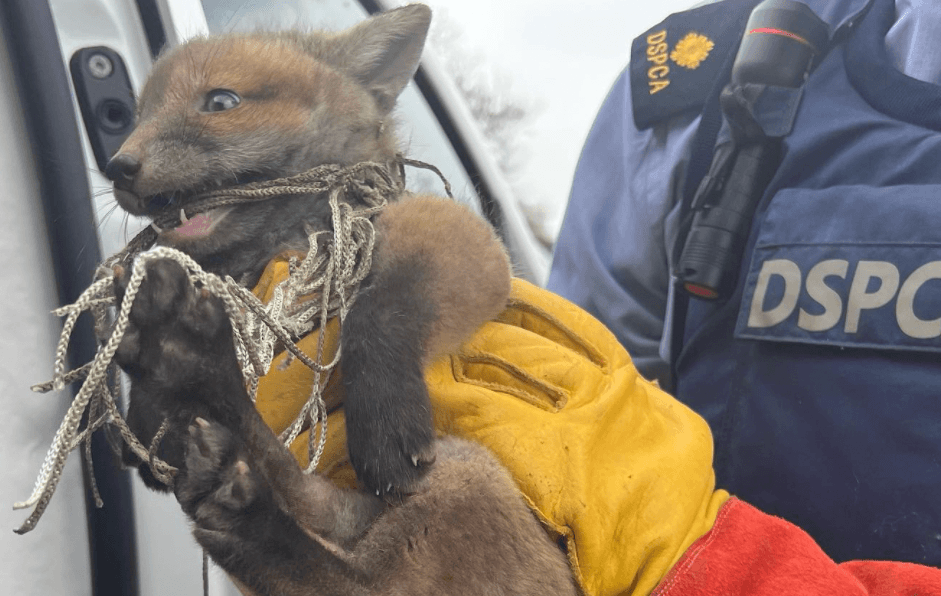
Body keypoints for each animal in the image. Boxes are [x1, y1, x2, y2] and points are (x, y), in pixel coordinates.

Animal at [105, 4, 576, 595]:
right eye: (138, 116)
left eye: (221, 102)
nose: (117, 166)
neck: (276, 252)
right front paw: (149, 400)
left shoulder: (467, 241)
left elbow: (384, 307)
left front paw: (383, 413)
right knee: (305, 499)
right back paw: (193, 371)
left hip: (462, 476)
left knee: (355, 578)